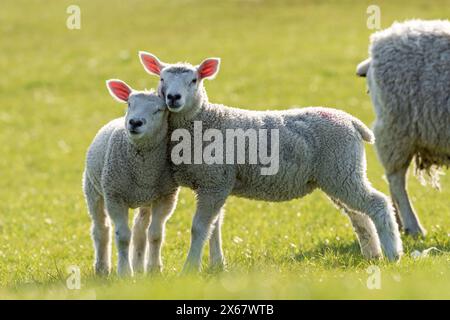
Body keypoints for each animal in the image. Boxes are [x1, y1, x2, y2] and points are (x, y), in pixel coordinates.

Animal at [81, 79, 178, 276]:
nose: (135, 122)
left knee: (140, 228)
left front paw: (154, 269)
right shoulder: (115, 196)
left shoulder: (166, 196)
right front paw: (125, 272)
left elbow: (155, 234)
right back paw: (102, 268)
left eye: (159, 110)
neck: (142, 169)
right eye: (129, 104)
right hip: (92, 189)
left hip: (146, 199)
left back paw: (139, 267)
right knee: (101, 229)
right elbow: (123, 236)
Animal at [139, 50, 402, 272]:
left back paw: (393, 254)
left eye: (194, 80)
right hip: (339, 173)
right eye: (161, 79)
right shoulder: (215, 183)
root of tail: (351, 121)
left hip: (342, 169)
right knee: (359, 214)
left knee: (377, 203)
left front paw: (190, 269)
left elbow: (199, 228)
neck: (203, 119)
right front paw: (217, 265)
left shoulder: (214, 181)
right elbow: (214, 228)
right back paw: (372, 254)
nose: (173, 97)